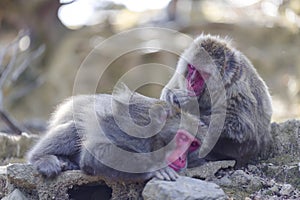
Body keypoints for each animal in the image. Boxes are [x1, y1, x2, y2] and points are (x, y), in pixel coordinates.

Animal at [28, 83, 206, 180]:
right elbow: (96, 151)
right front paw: (155, 168)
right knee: (74, 127)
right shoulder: (134, 126)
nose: (182, 159)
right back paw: (43, 158)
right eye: (183, 138)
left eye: (193, 144)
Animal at [161, 34, 274, 166]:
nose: (191, 82)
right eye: (191, 67)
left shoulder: (238, 89)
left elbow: (242, 127)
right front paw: (172, 96)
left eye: (202, 73)